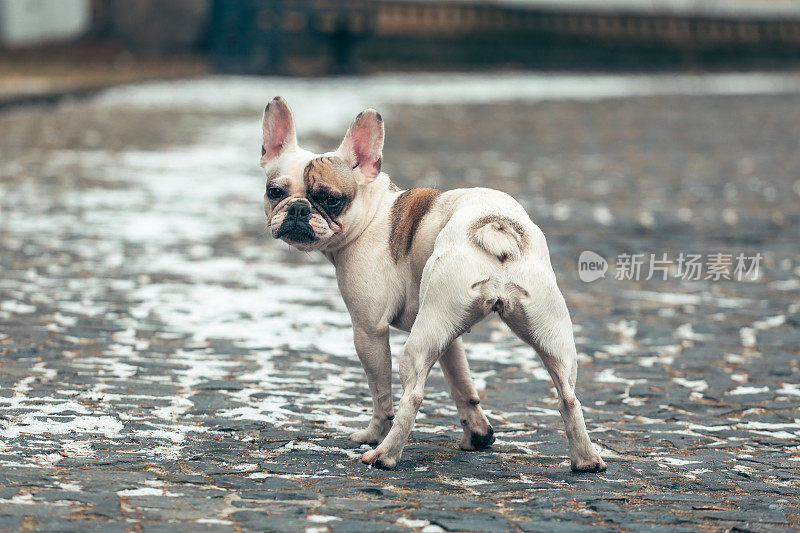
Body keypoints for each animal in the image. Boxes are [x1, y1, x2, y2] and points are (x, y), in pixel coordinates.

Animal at [262, 96, 608, 470]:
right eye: (273, 192)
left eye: (329, 199)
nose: (297, 208)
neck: (372, 212)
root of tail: (495, 225)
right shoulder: (448, 338)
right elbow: (461, 384)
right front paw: (478, 434)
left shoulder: (368, 330)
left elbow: (380, 394)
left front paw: (372, 433)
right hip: (533, 334)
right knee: (569, 397)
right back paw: (587, 460)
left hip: (416, 346)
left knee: (411, 396)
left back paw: (384, 454)